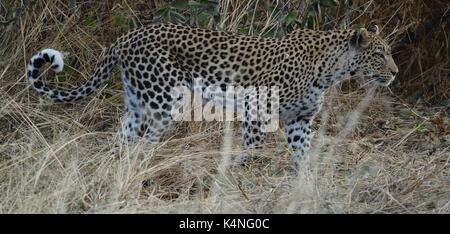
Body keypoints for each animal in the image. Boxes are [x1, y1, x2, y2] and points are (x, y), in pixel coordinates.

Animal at [25, 22, 398, 164]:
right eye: (379, 54)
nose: (394, 72)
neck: (332, 70)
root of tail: (128, 36)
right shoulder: (256, 108)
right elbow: (254, 149)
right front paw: (248, 177)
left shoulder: (299, 121)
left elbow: (302, 156)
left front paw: (305, 186)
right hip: (163, 102)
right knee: (145, 143)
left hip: (136, 103)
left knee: (123, 139)